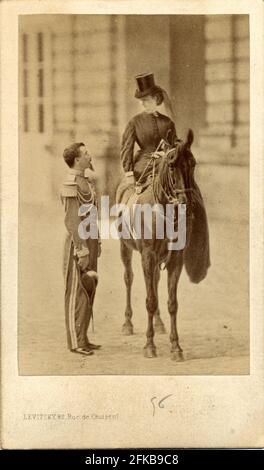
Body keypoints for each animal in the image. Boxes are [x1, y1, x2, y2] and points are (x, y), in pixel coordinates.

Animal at [116, 130, 210, 362]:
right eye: (172, 164)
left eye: (193, 163)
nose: (187, 202)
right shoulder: (147, 256)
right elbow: (150, 300)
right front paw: (149, 345)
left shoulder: (175, 258)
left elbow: (171, 302)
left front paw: (176, 347)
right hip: (125, 248)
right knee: (129, 279)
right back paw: (128, 323)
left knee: (156, 283)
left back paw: (159, 324)